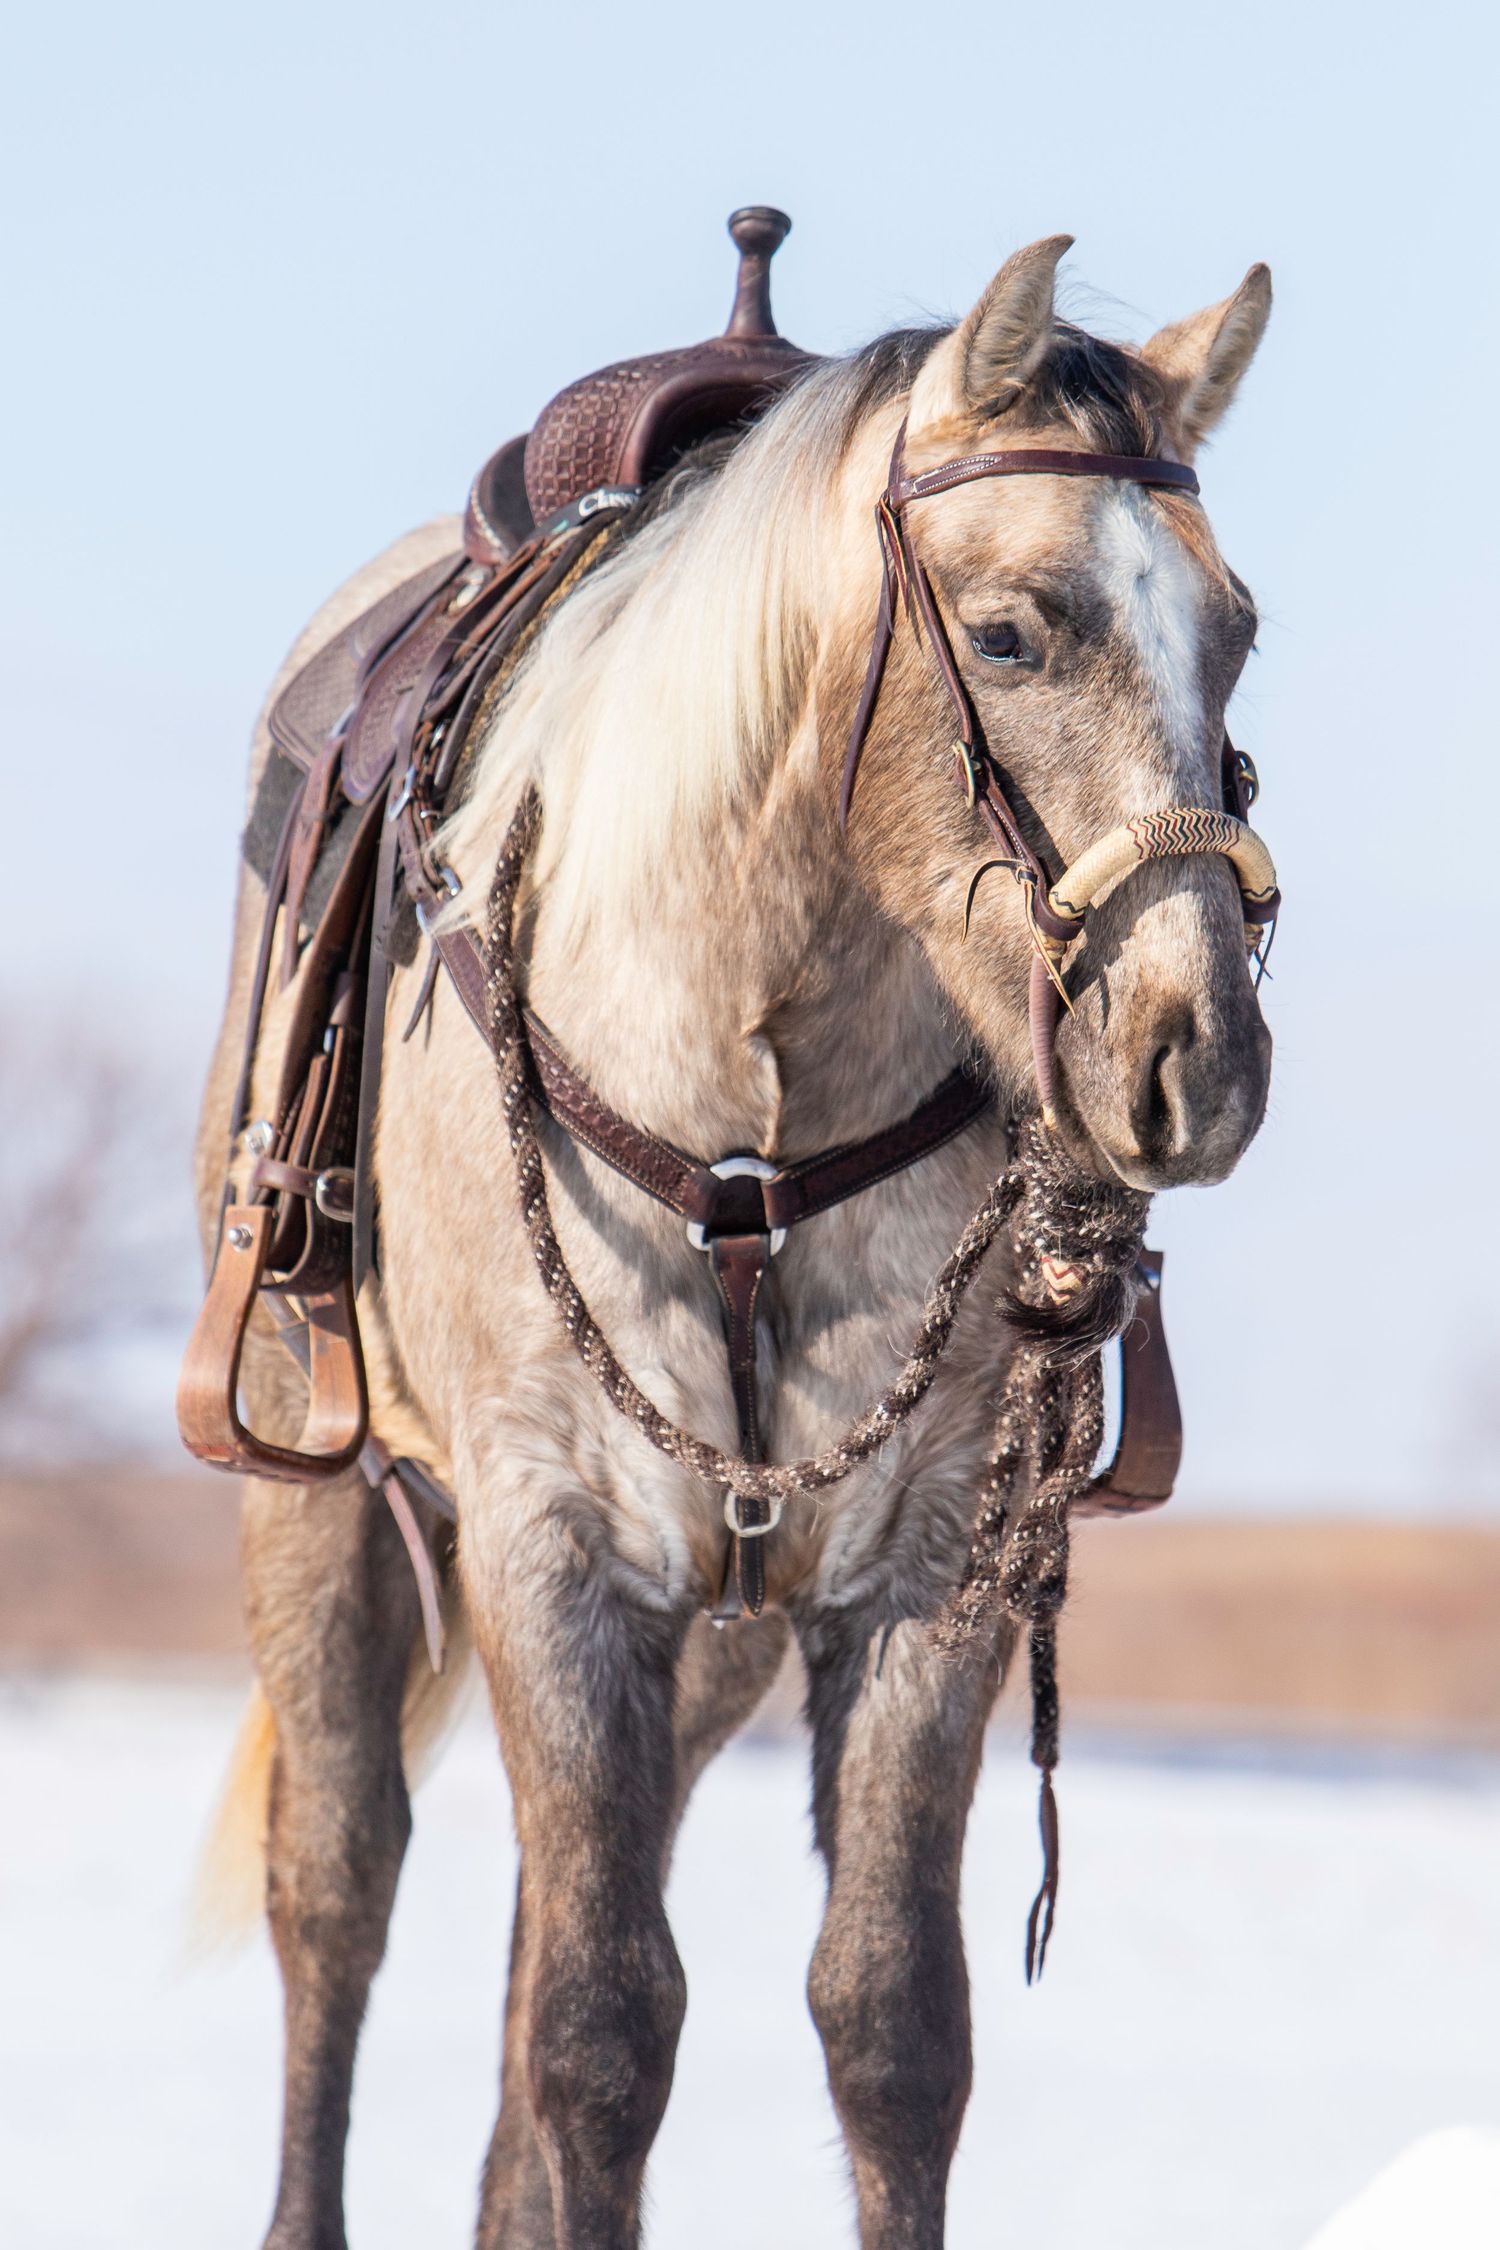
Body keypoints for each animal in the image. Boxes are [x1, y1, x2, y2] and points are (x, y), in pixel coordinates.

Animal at [194, 231, 1274, 2249]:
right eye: (1013, 631)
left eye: (1231, 631)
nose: (1201, 1058)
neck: (752, 1076)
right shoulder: (549, 1541)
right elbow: (602, 2035)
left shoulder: (930, 1565)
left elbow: (890, 2027)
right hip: (314, 1487)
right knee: (338, 1894)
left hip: (713, 1632)